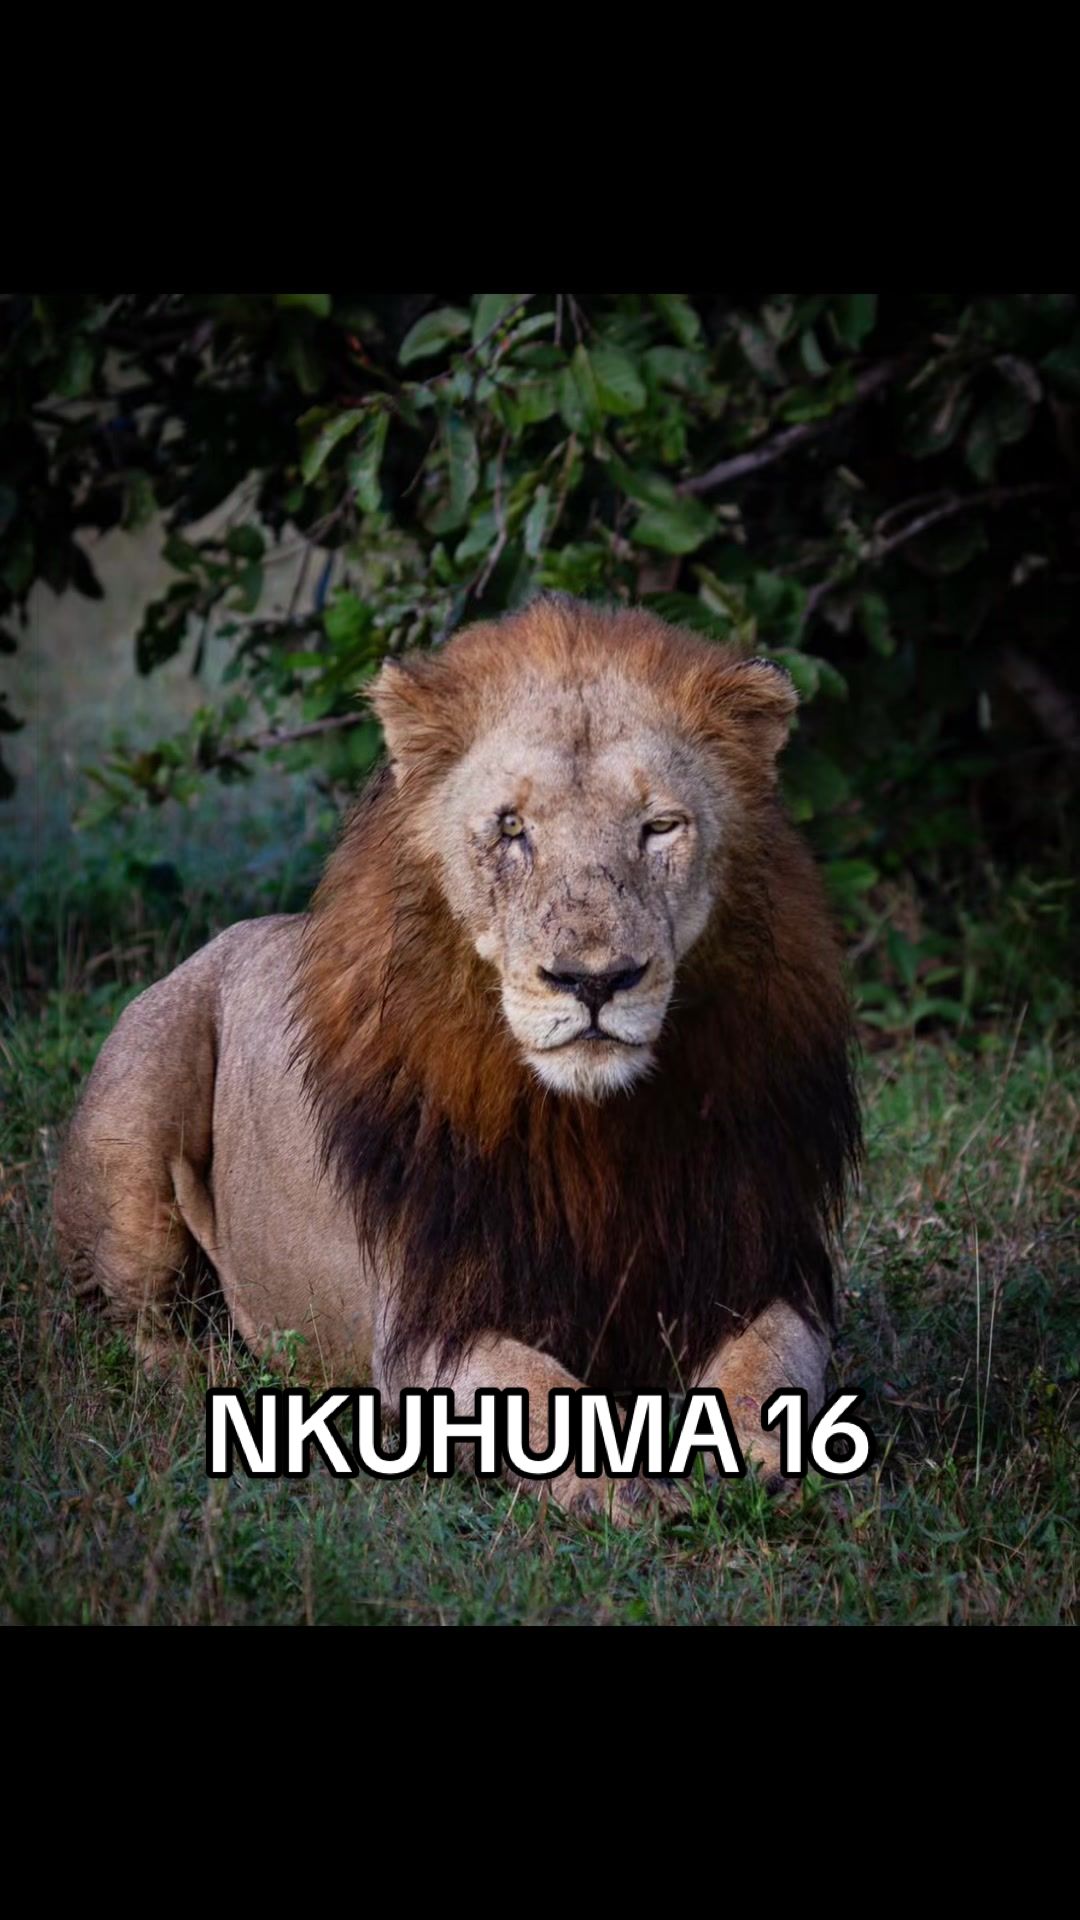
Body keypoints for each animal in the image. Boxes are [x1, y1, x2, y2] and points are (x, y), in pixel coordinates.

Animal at [54, 593, 861, 1521]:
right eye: (512, 829)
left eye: (659, 827)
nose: (594, 979)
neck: (599, 1129)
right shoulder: (429, 1315)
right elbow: (540, 1396)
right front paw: (621, 1480)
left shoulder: (768, 1266)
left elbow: (765, 1374)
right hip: (139, 1102)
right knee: (137, 1328)